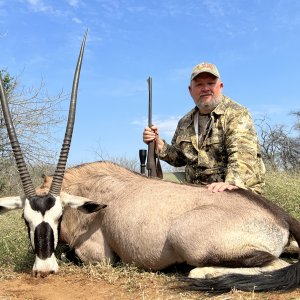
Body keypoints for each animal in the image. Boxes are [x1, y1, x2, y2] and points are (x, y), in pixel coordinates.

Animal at [1, 36, 300, 292]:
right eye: (25, 219)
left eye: (59, 216)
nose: (44, 270)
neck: (88, 189)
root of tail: (279, 214)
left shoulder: (97, 254)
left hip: (190, 239)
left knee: (276, 264)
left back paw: (199, 272)